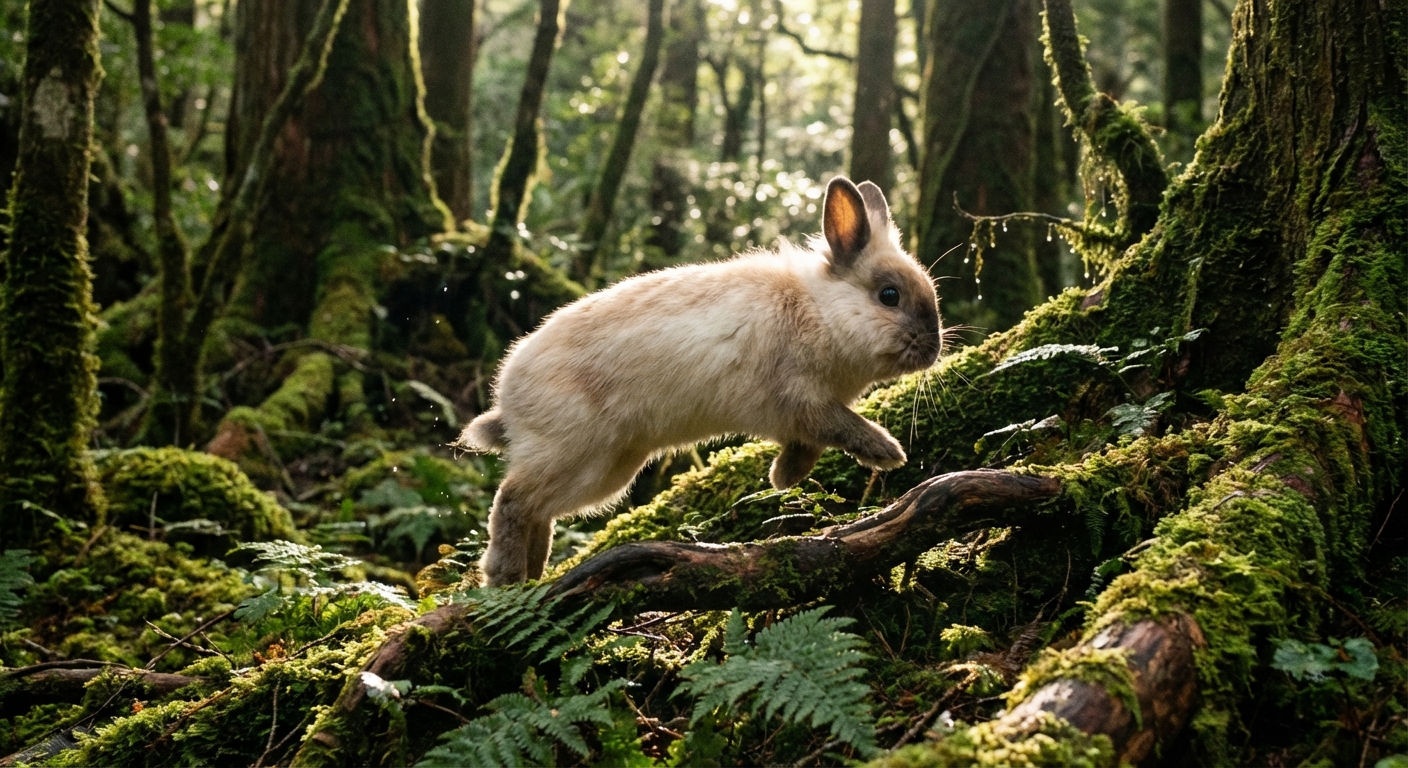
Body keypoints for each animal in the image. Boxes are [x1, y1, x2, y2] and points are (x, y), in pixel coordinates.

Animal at [459, 176, 941, 586]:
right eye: (889, 296)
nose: (934, 348)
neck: (820, 310)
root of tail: (508, 396)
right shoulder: (805, 401)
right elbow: (845, 427)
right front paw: (889, 453)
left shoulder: (802, 421)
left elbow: (809, 447)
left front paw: (781, 479)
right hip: (574, 449)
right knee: (512, 499)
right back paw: (504, 577)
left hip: (608, 469)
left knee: (540, 510)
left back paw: (533, 575)